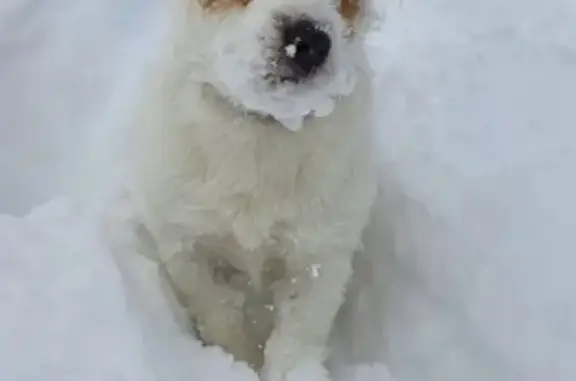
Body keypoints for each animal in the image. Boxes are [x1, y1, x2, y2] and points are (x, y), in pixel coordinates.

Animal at [122, 0, 378, 380]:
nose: (309, 41)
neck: (264, 128)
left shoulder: (319, 258)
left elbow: (298, 335)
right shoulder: (187, 244)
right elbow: (219, 314)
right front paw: (236, 363)